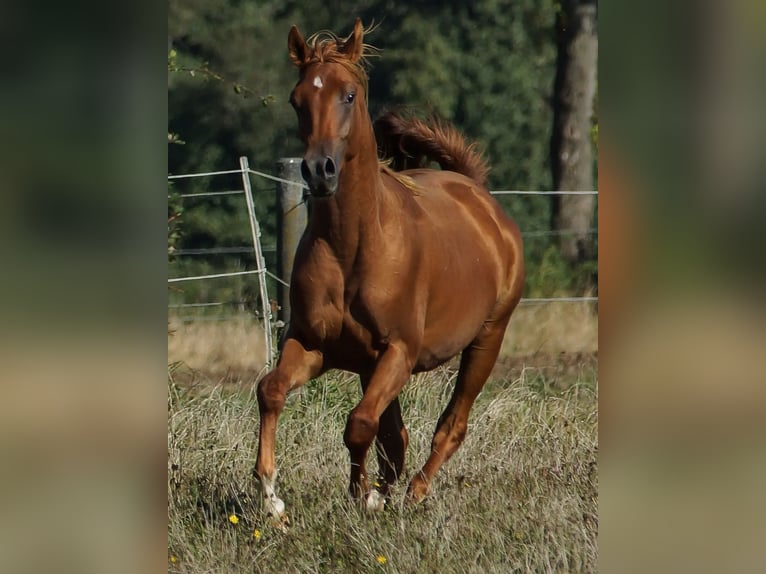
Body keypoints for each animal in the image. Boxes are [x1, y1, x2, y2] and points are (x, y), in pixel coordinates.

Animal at [255, 20, 524, 520]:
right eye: (297, 99)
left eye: (348, 95)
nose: (319, 171)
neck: (354, 248)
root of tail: (477, 193)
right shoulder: (313, 345)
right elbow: (272, 390)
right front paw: (272, 496)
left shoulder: (399, 350)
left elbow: (360, 424)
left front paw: (364, 495)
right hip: (371, 366)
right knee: (395, 435)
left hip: (486, 339)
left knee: (451, 424)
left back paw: (415, 492)